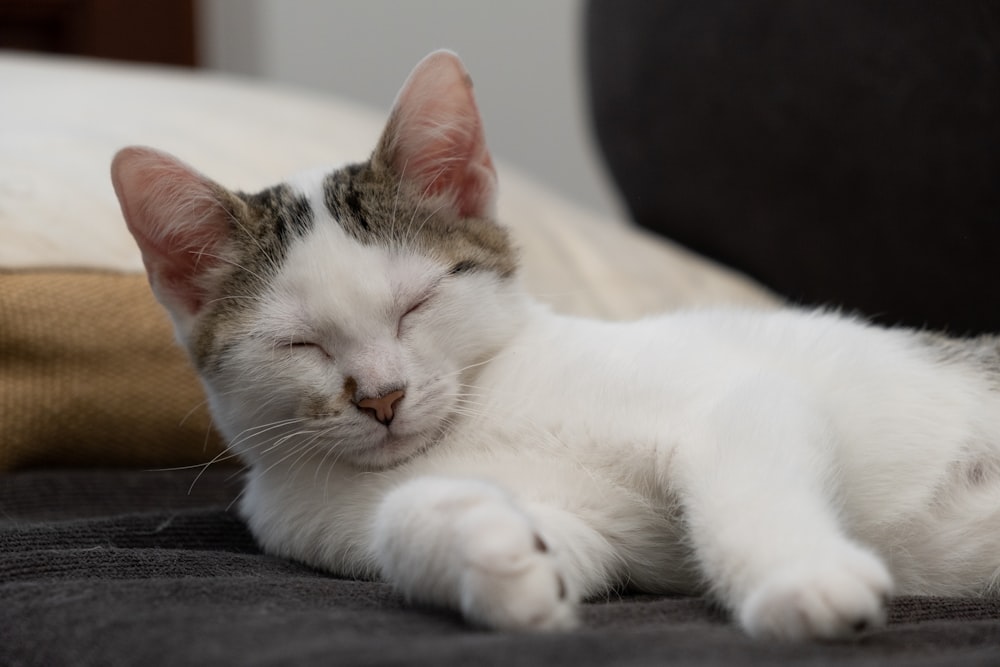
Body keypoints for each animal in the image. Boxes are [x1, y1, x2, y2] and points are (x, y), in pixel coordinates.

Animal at [109, 49, 1000, 640]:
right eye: (299, 342)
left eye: (415, 304)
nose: (382, 397)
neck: (472, 417)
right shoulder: (593, 534)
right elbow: (458, 526)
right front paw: (487, 548)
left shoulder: (741, 394)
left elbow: (748, 474)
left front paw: (799, 578)